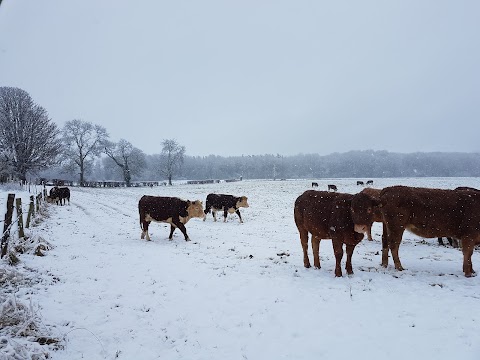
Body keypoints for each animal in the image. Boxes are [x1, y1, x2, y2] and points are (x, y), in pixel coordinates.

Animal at [348, 184, 480, 278]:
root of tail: (387, 190)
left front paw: (471, 271)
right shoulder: (469, 236)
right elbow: (468, 254)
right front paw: (468, 273)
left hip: (387, 226)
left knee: (385, 242)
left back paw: (384, 264)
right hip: (397, 227)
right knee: (393, 245)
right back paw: (399, 267)